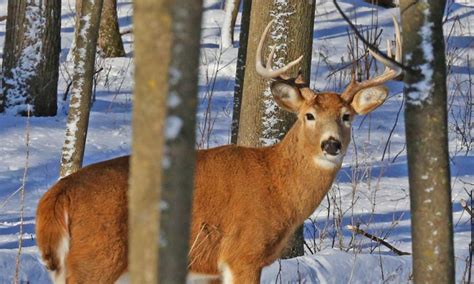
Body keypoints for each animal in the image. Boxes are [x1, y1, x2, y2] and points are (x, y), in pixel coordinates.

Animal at [36, 18, 400, 282]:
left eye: (347, 116)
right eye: (308, 115)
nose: (331, 144)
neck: (277, 184)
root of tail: (56, 196)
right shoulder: (243, 254)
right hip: (96, 260)